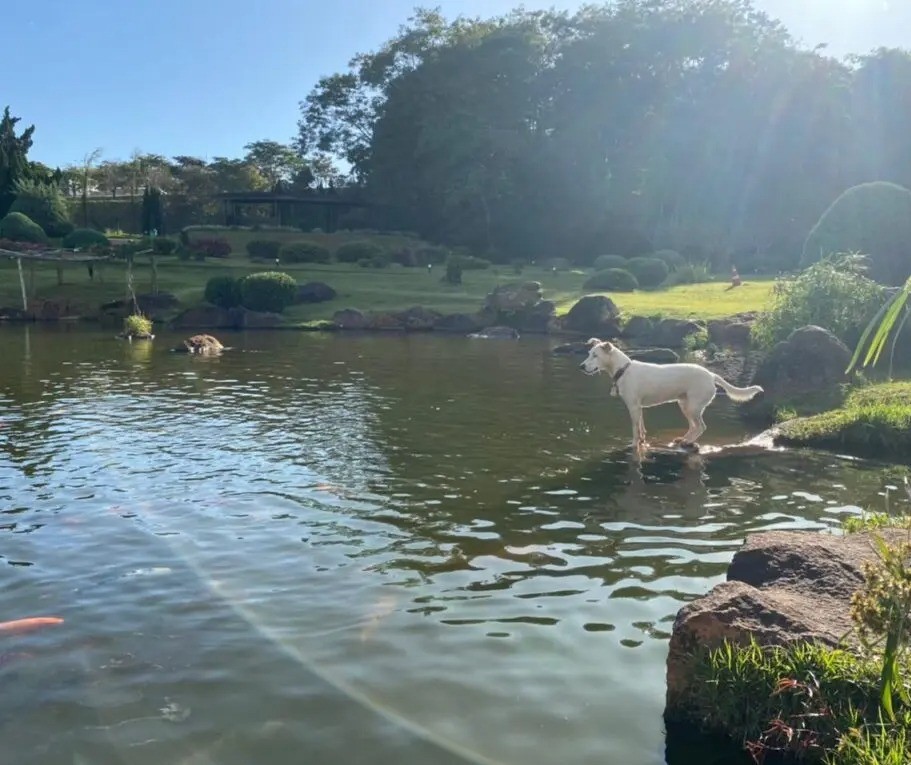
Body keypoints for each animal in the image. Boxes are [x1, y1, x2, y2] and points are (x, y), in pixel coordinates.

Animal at [580, 338, 764, 454]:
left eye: (595, 355)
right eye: (589, 353)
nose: (581, 366)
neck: (623, 370)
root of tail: (712, 375)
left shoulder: (633, 407)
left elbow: (634, 429)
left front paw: (633, 444)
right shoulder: (639, 408)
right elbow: (641, 428)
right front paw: (642, 441)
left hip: (693, 407)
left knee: (700, 427)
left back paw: (686, 442)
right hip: (684, 404)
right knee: (694, 426)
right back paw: (682, 439)